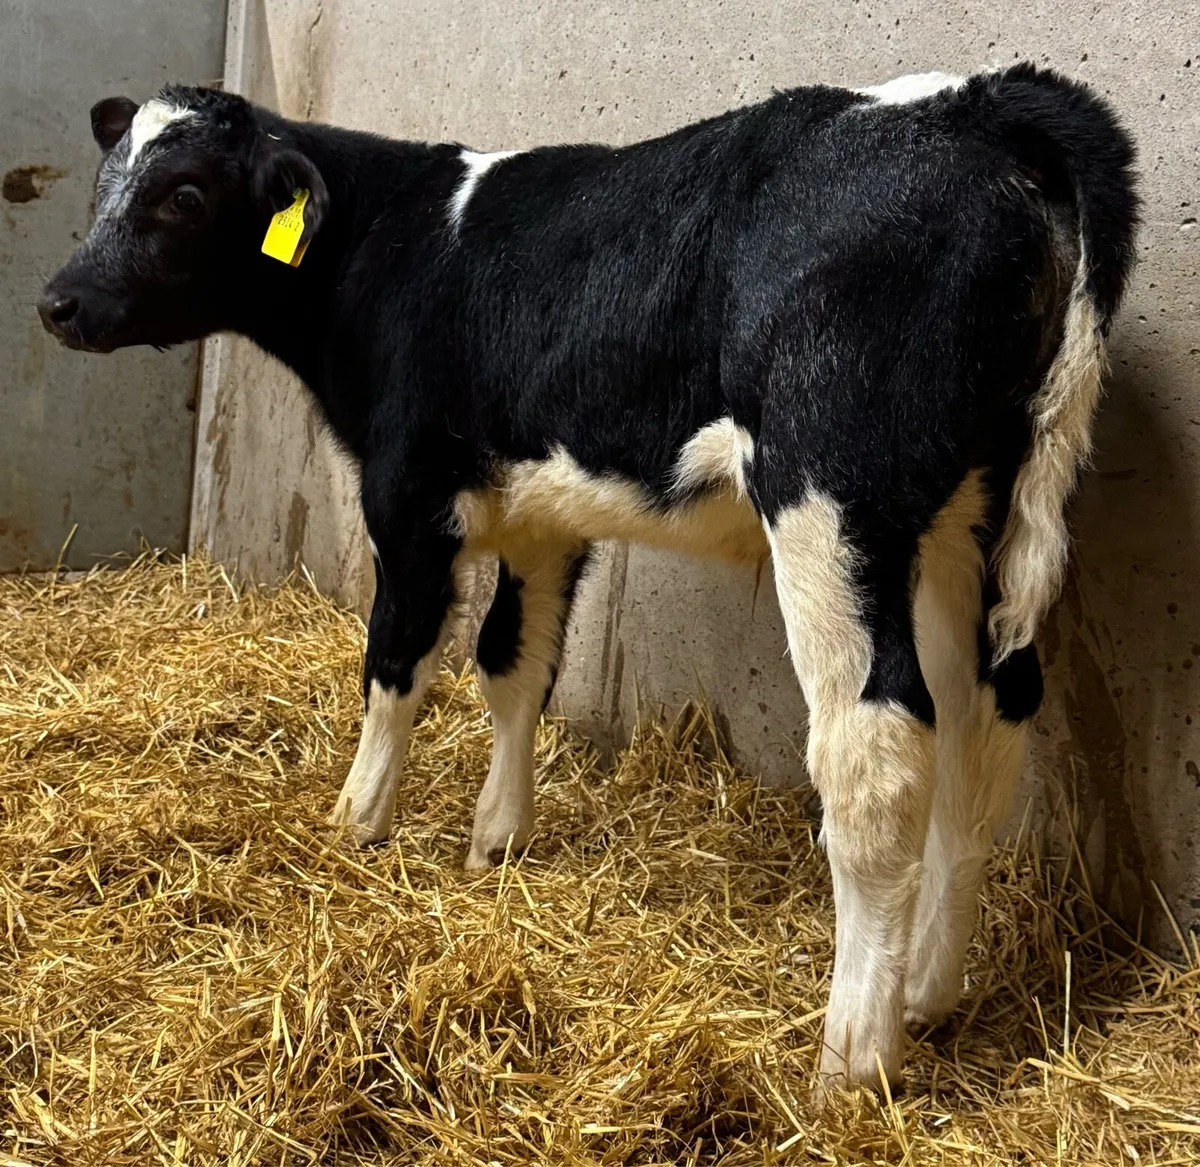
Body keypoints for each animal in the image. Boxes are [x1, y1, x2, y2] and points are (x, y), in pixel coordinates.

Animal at [39, 65, 1137, 1092]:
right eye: (104, 184)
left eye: (183, 194)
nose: (59, 300)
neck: (404, 247)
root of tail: (978, 102)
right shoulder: (542, 520)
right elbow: (513, 666)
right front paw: (496, 840)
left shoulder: (406, 498)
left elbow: (396, 664)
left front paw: (356, 825)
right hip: (975, 508)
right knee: (985, 719)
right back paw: (928, 992)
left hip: (835, 493)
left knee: (879, 749)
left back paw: (852, 1060)